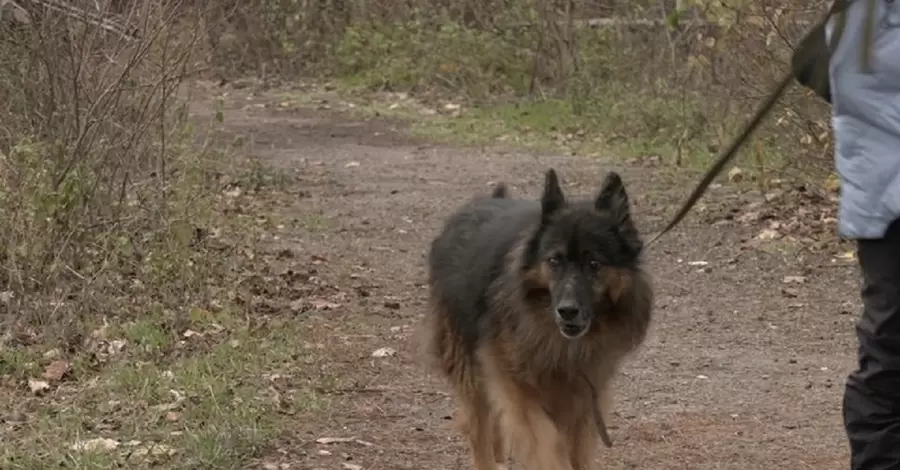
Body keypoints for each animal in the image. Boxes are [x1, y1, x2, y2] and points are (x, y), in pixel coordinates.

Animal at [422, 169, 652, 470]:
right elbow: (546, 445)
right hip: (468, 366)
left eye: (594, 265)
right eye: (554, 261)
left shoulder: (584, 397)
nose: (567, 311)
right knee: (479, 429)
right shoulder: (518, 389)